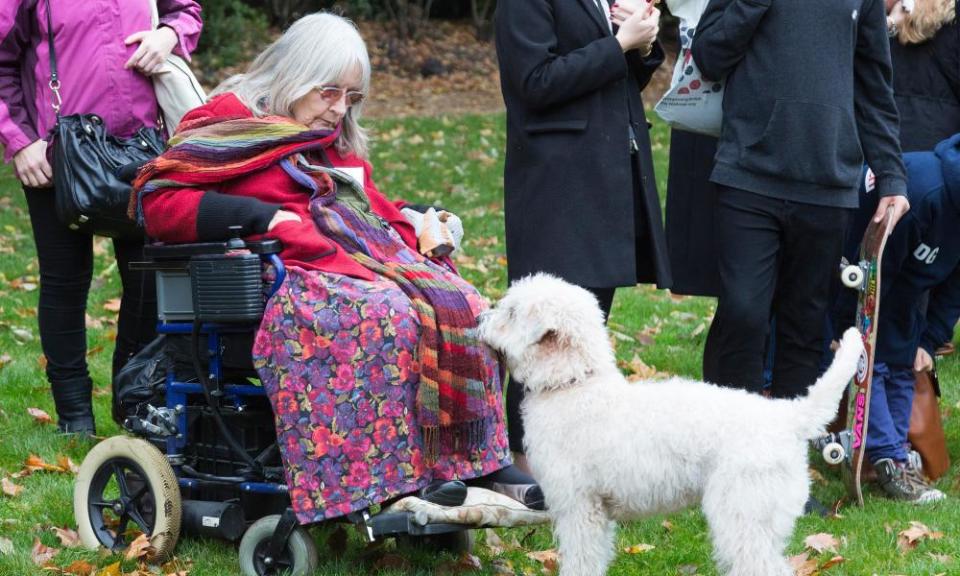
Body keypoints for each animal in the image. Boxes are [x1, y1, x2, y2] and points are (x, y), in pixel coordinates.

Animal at [480, 274, 864, 576]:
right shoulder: (597, 512)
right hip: (763, 520)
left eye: (511, 313)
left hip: (744, 515)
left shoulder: (579, 507)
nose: (481, 315)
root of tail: (787, 416)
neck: (573, 384)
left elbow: (580, 560)